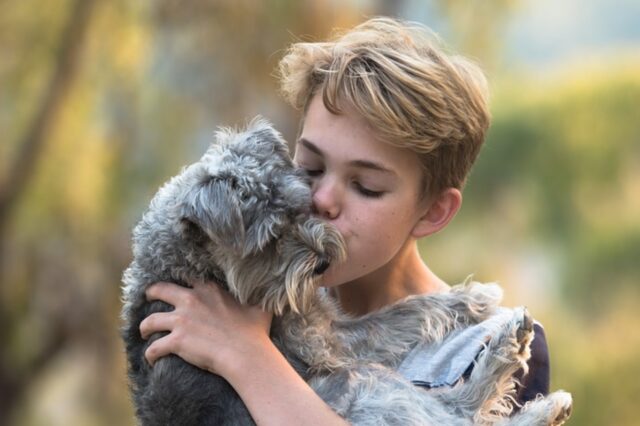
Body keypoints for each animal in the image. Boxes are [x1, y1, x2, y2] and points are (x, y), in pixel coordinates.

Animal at [122, 118, 572, 424]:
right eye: (269, 240)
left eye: (302, 205)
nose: (322, 261)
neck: (190, 264)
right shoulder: (326, 341)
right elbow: (401, 314)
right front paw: (470, 297)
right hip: (364, 382)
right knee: (458, 411)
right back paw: (516, 352)